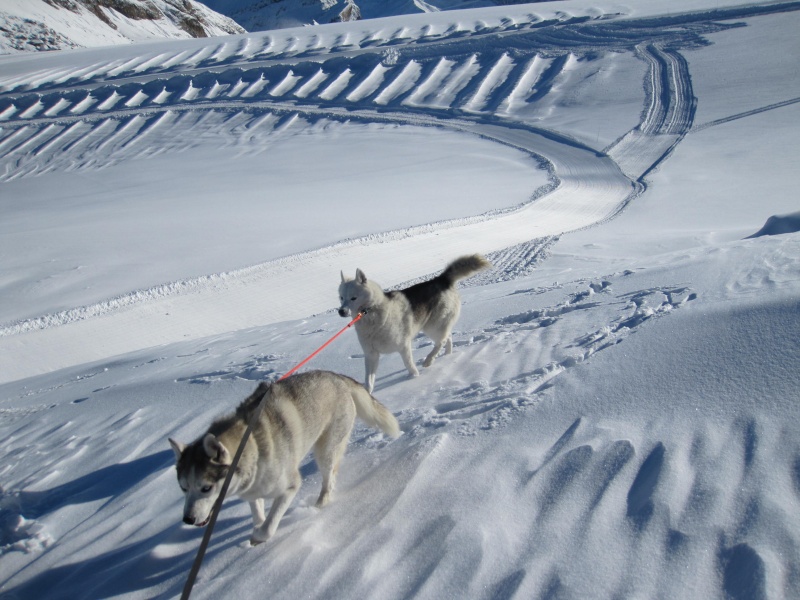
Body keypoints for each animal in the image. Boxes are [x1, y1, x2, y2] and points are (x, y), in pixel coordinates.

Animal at [167, 368, 398, 548]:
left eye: (206, 488)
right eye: (183, 488)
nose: (187, 519)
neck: (251, 444)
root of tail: (337, 376)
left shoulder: (289, 487)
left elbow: (268, 527)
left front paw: (258, 535)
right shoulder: (252, 490)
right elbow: (259, 514)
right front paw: (256, 527)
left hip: (325, 451)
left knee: (329, 480)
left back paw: (320, 504)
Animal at [336, 253, 488, 394]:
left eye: (353, 298)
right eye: (341, 298)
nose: (341, 311)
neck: (372, 315)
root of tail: (441, 280)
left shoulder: (403, 346)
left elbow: (408, 364)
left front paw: (414, 377)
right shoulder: (371, 355)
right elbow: (369, 380)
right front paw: (367, 396)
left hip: (433, 327)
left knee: (442, 341)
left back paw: (429, 360)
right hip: (437, 325)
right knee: (447, 337)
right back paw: (447, 354)